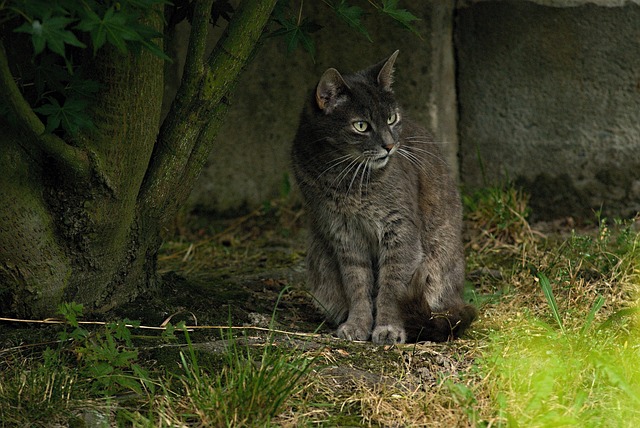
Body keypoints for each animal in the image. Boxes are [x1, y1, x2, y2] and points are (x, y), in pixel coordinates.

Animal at [292, 51, 476, 344]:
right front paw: (357, 324)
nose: (390, 145)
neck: (344, 177)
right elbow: (357, 284)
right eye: (361, 125)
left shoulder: (399, 229)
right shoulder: (343, 232)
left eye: (391, 119)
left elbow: (392, 285)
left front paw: (388, 328)